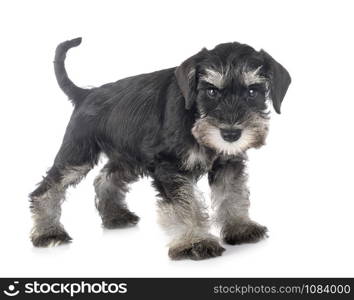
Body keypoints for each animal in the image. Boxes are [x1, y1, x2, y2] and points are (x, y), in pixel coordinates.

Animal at [29, 37, 290, 258]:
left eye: (252, 91)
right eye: (211, 90)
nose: (231, 134)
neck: (194, 117)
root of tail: (85, 94)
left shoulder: (229, 163)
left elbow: (232, 194)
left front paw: (240, 228)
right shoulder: (169, 167)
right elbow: (185, 205)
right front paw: (195, 242)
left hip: (128, 158)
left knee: (105, 179)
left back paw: (116, 216)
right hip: (78, 155)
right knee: (47, 188)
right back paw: (48, 232)